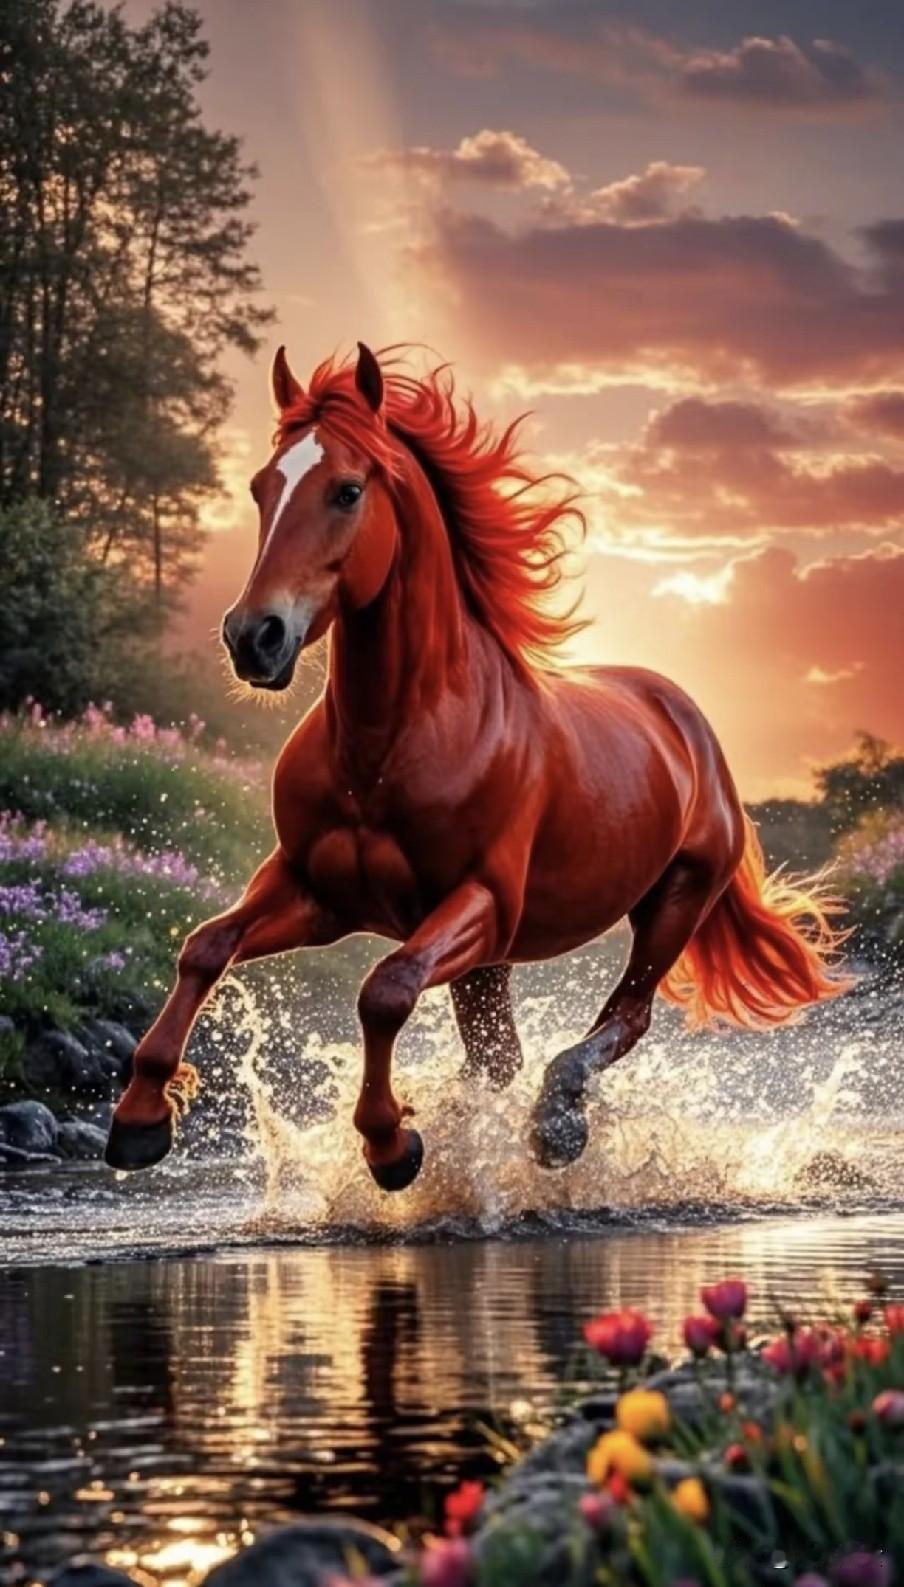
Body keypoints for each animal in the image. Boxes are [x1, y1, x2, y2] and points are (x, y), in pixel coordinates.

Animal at [104, 342, 847, 1189]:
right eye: (263, 487)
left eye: (348, 490)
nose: (252, 637)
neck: (388, 743)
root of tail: (689, 723)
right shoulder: (313, 890)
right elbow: (204, 947)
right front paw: (139, 1119)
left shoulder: (480, 900)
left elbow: (385, 990)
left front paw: (392, 1143)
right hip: (490, 962)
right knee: (502, 1055)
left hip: (674, 899)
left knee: (625, 1014)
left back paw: (557, 1123)